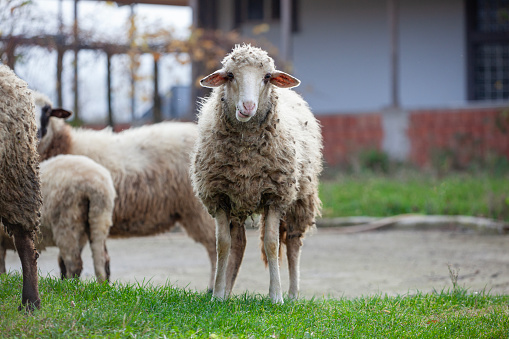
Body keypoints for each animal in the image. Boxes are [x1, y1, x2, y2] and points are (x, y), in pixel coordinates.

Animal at [35, 105, 218, 290]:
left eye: (47, 111)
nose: (36, 134)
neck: (68, 144)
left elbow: (68, 262)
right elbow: (102, 261)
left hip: (200, 209)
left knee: (215, 248)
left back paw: (212, 289)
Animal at [190, 43, 322, 304]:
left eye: (267, 77)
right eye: (230, 75)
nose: (248, 107)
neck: (246, 157)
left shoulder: (275, 196)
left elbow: (271, 243)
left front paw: (276, 296)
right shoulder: (220, 197)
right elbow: (223, 245)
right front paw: (218, 295)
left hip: (301, 197)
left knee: (293, 242)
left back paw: (293, 294)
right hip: (238, 200)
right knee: (238, 244)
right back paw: (228, 291)